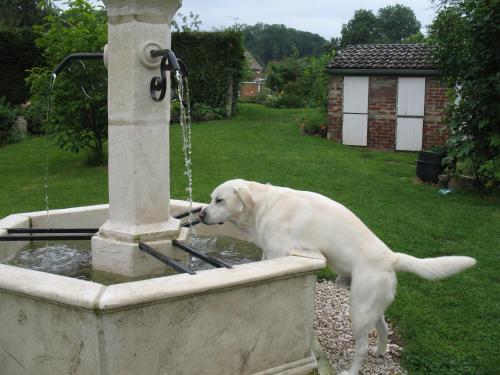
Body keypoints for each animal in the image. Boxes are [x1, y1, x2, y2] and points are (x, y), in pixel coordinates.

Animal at [199, 181, 476, 374]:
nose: (200, 214)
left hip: (358, 309)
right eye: (211, 199)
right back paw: (380, 352)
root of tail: (391, 257)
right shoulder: (268, 252)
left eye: (219, 200)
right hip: (371, 306)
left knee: (361, 347)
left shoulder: (279, 251)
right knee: (384, 329)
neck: (263, 204)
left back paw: (352, 370)